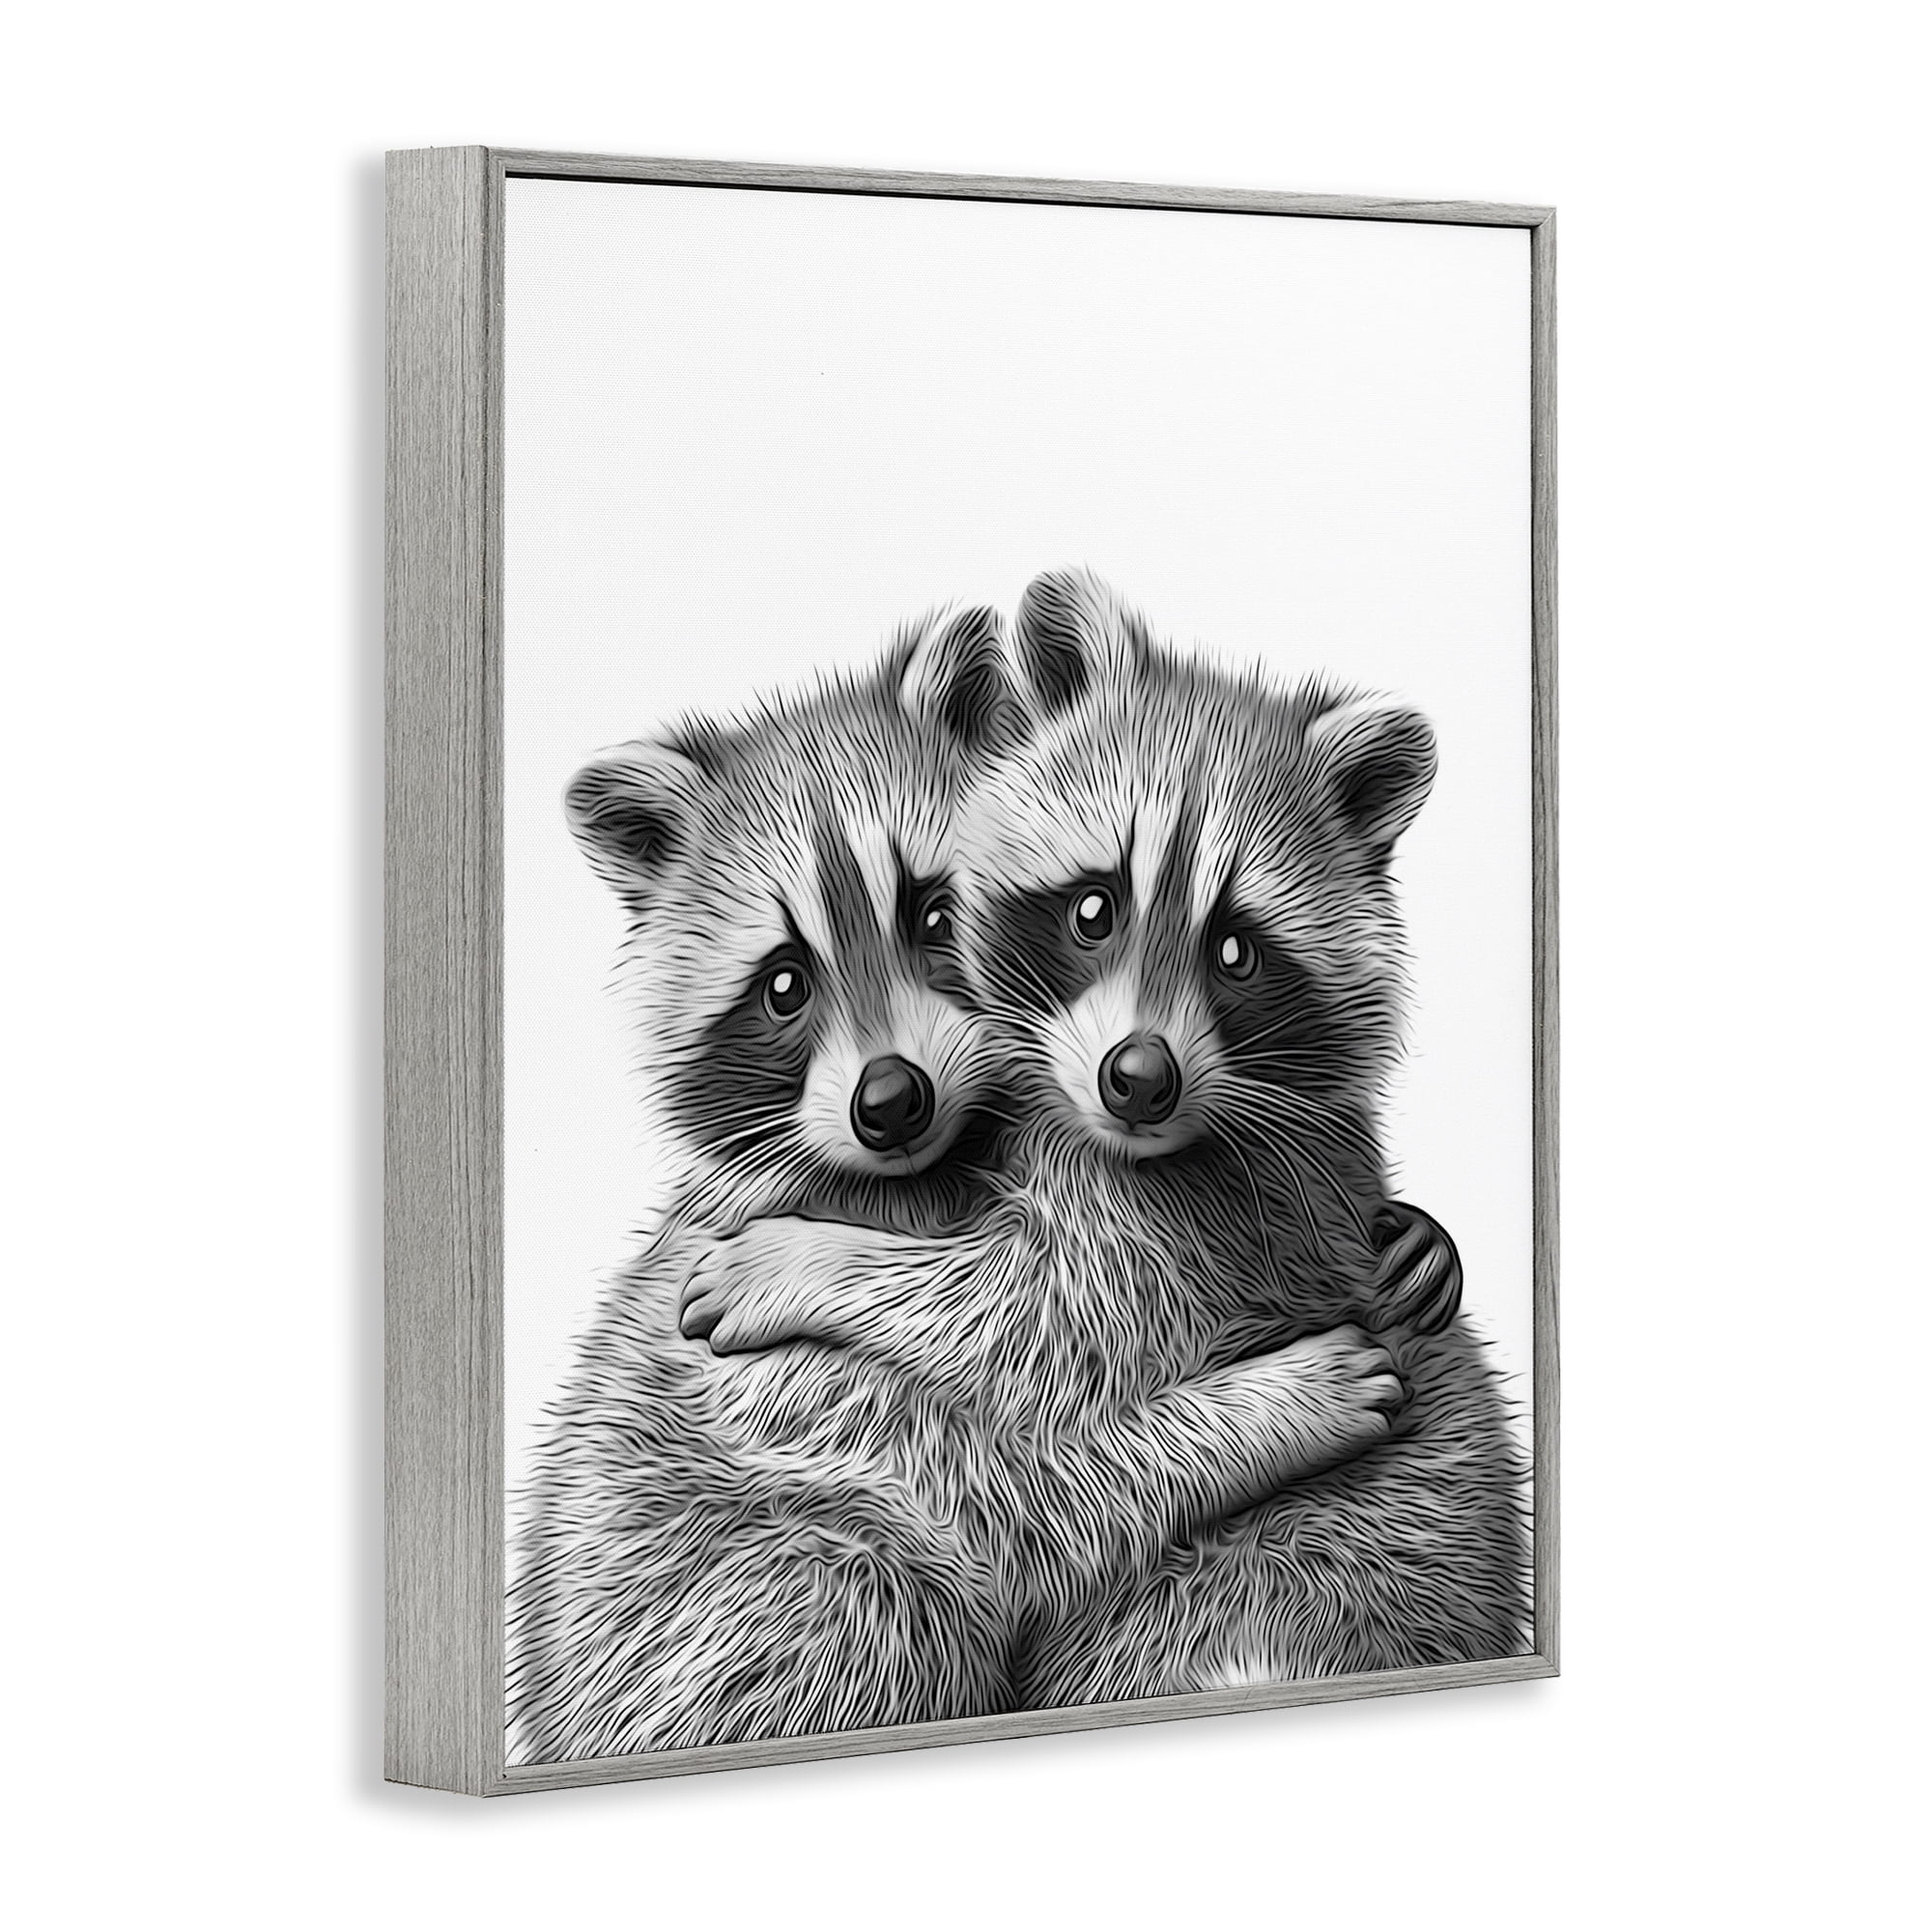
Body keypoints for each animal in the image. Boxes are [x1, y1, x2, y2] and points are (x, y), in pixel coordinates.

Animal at [506, 602, 1406, 1763]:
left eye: (932, 919)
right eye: (783, 985)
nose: (891, 1100)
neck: (932, 1169)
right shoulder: (766, 1388)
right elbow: (1012, 1505)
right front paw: (1265, 1411)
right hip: (757, 1616)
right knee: (864, 1593)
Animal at [676, 572, 1508, 1705]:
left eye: (1237, 949)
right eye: (1093, 908)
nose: (1139, 1079)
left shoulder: (1208, 1217)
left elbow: (1029, 1314)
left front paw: (805, 1260)